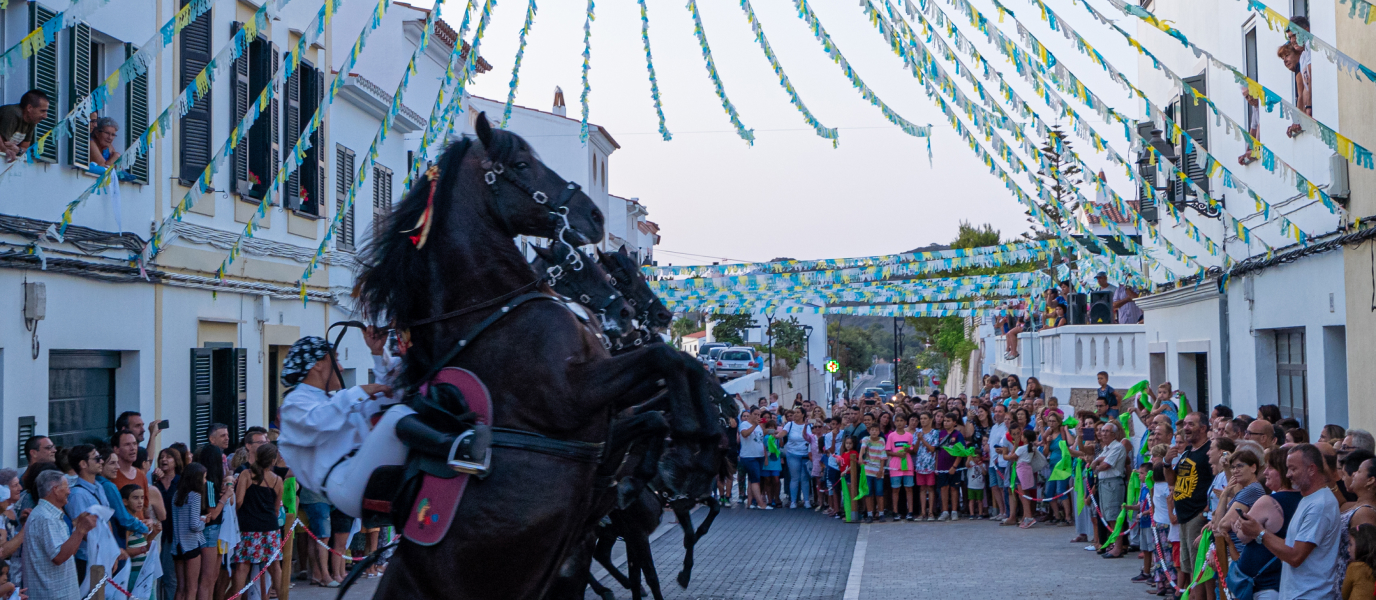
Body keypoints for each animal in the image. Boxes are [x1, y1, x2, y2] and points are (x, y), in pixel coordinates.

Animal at [352, 114, 721, 597]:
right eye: (523, 165)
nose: (594, 214)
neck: (495, 307)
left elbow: (669, 382)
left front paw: (697, 440)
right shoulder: (574, 394)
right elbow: (668, 363)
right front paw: (697, 450)